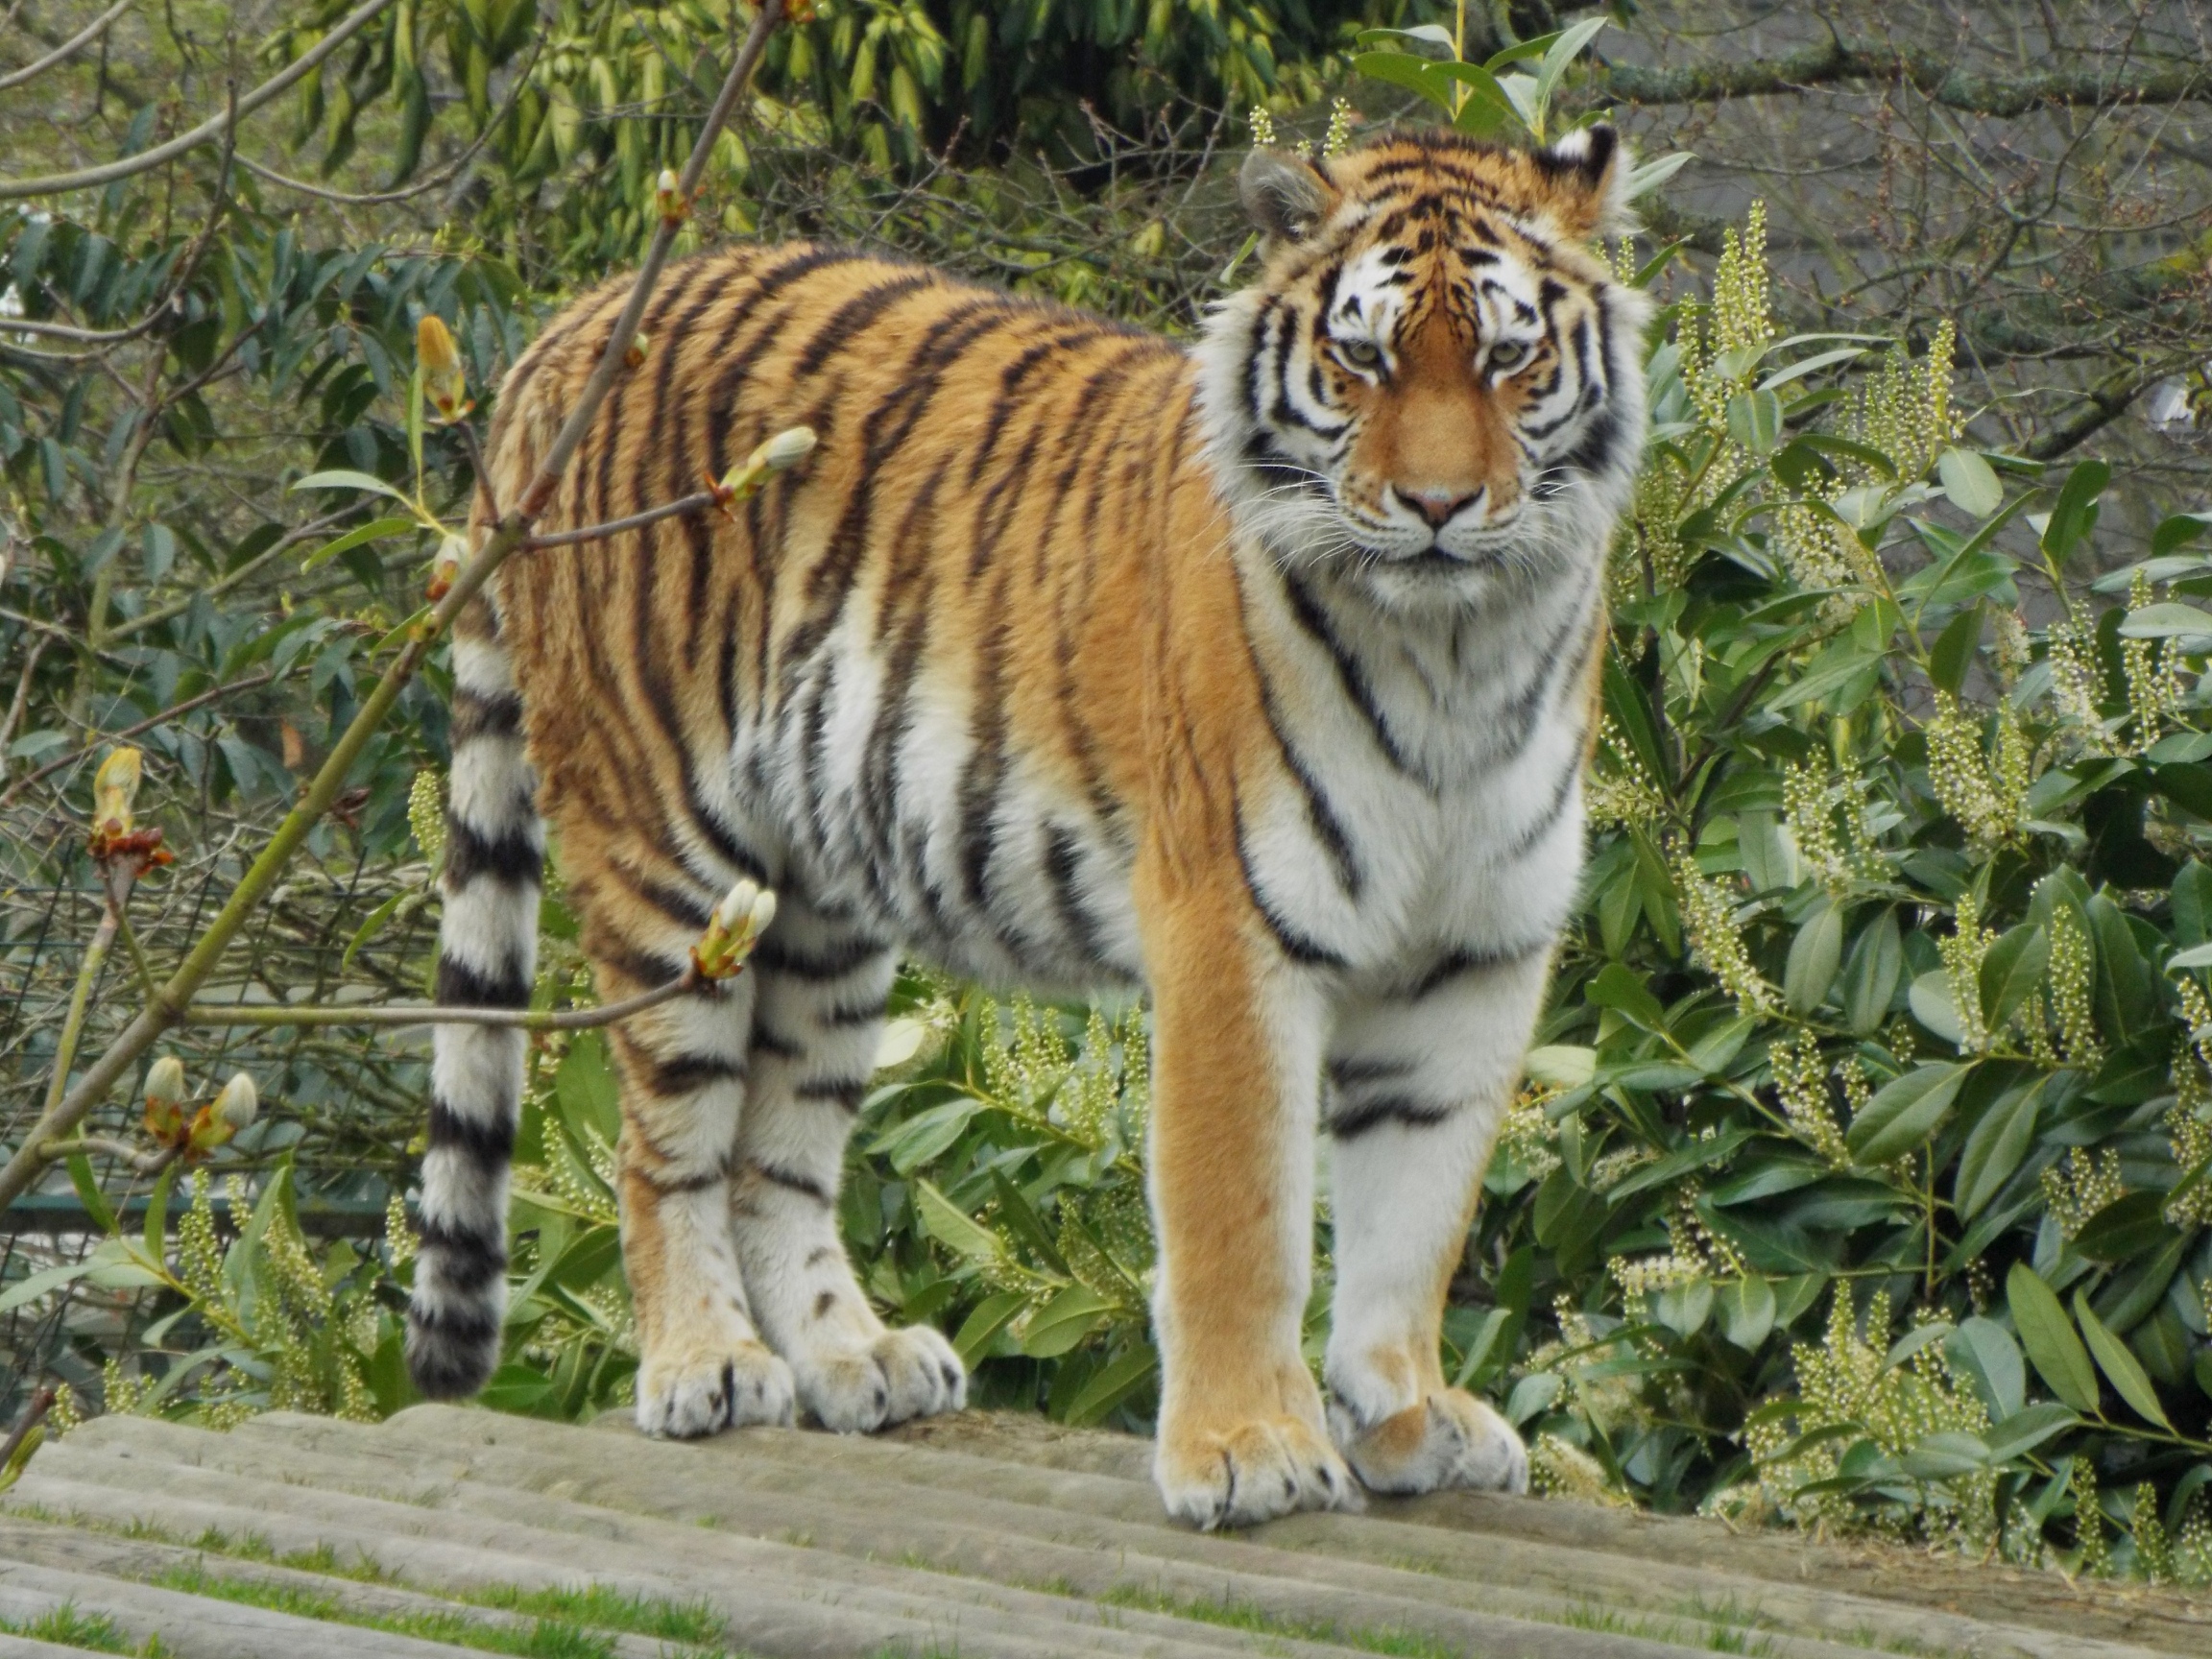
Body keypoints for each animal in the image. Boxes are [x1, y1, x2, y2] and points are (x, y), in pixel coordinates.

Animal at [404, 123, 1650, 1529]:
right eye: (1366, 358)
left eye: (1507, 358)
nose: (1439, 507)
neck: (1457, 651)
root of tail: (575, 323)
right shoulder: (1230, 927)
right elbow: (1241, 1217)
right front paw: (1246, 1449)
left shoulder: (1474, 955)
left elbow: (1416, 1216)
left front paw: (1408, 1418)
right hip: (668, 858)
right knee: (662, 1147)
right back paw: (707, 1364)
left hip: (821, 909)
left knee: (773, 1155)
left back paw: (855, 1359)